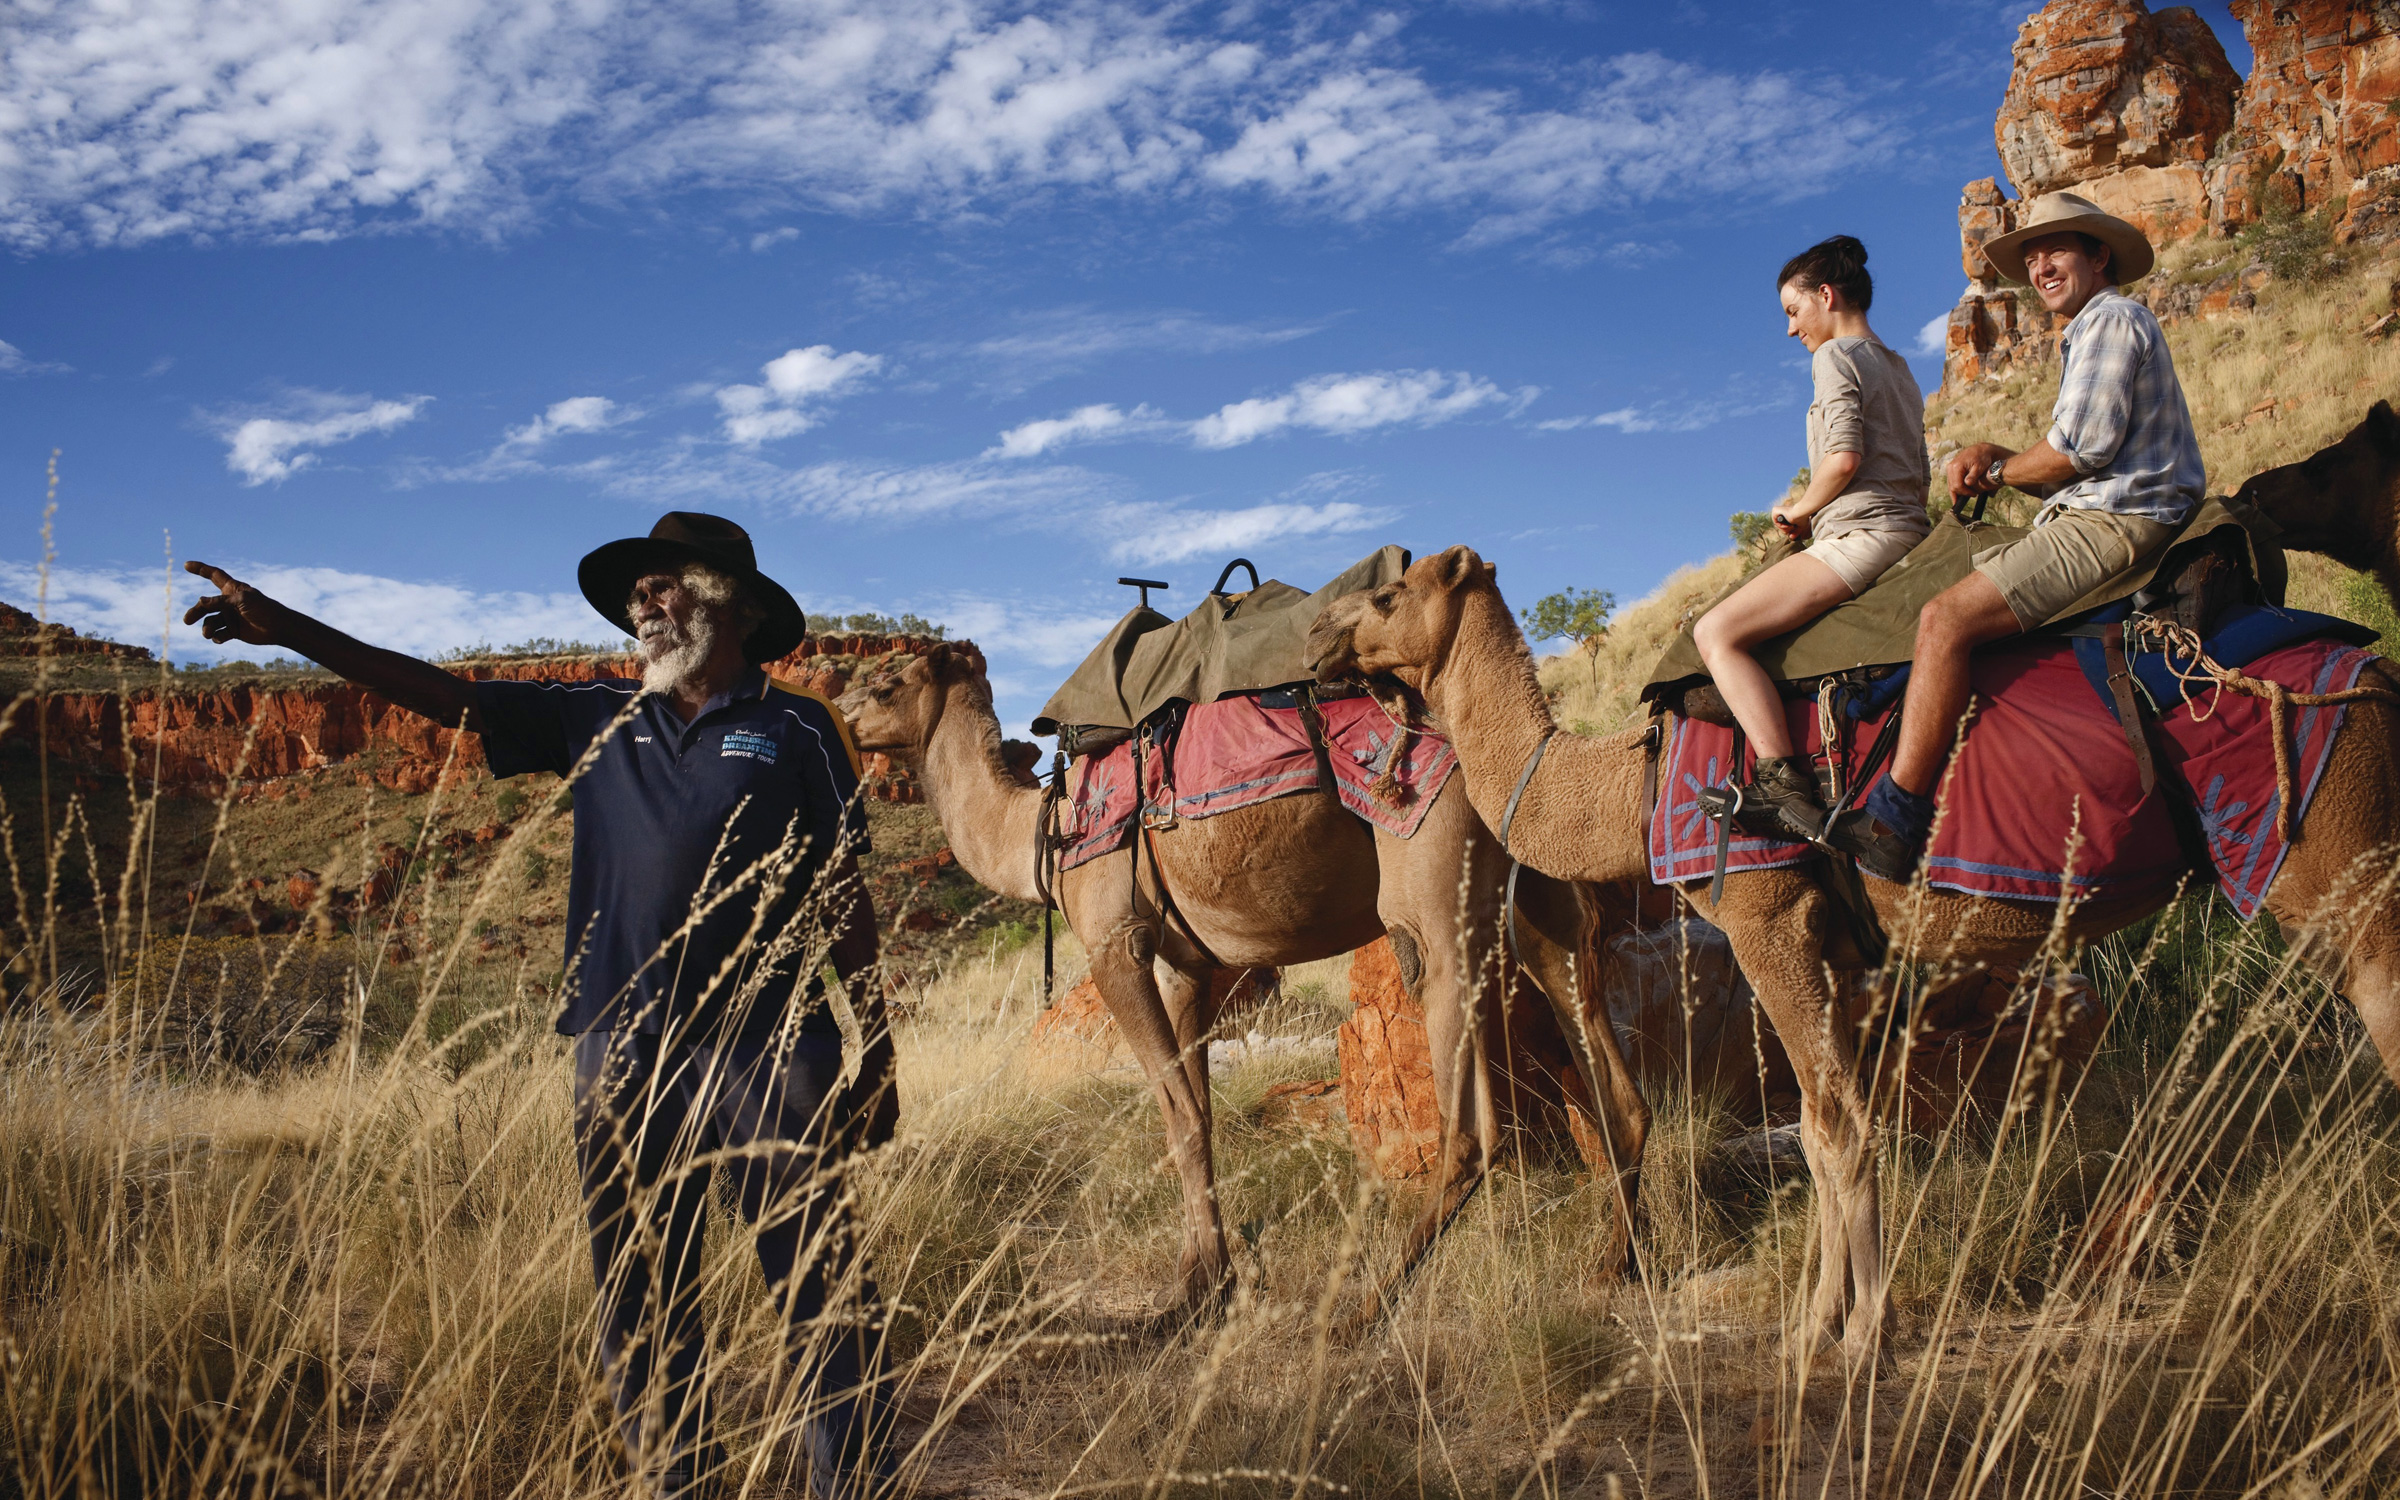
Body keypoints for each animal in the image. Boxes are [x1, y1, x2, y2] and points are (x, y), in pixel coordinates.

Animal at [840, 638, 1651, 1305]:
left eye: (885, 683)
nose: (845, 718)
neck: (1044, 831)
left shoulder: (1115, 943)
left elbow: (1175, 1110)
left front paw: (1197, 1293)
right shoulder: (1187, 968)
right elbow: (1195, 1115)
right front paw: (1202, 1278)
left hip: (1432, 870)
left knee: (1471, 1120)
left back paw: (1367, 1305)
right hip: (1534, 874)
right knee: (1610, 1076)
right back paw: (1615, 1265)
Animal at [1305, 504, 2400, 1344]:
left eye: (1390, 596)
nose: (1318, 641)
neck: (1631, 782)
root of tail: (2370, 672)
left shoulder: (1767, 916)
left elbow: (1834, 1129)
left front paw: (1848, 1329)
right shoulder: (1831, 948)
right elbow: (1829, 1122)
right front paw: (1829, 1315)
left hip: (2330, 847)